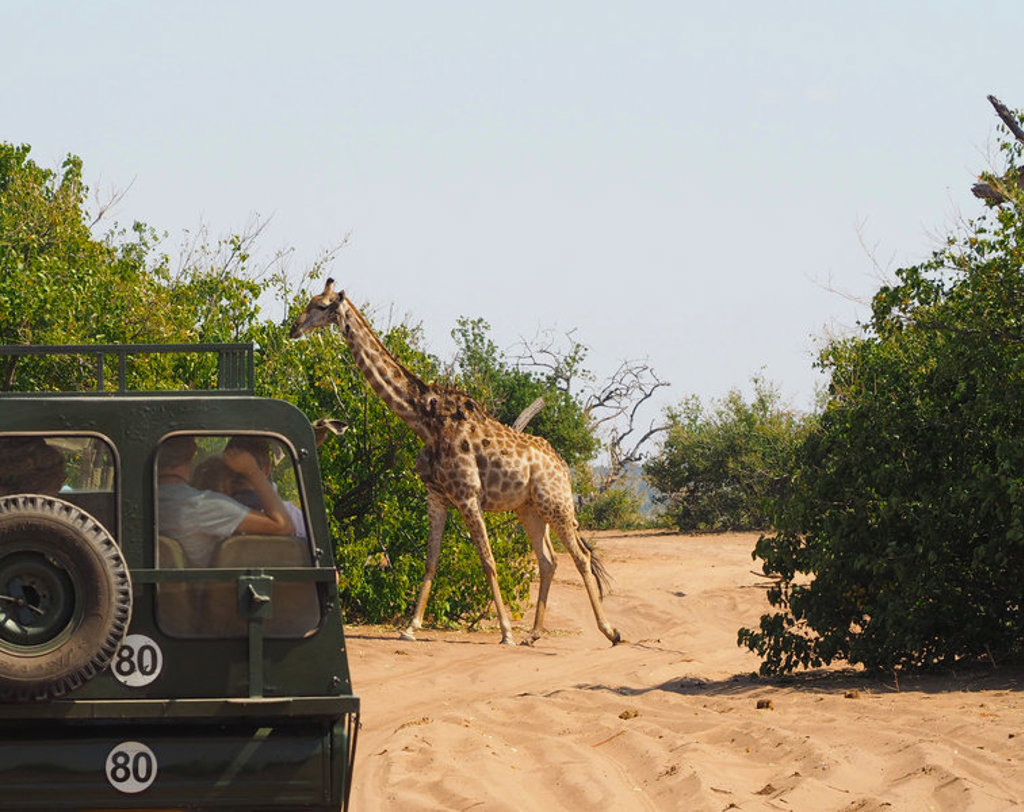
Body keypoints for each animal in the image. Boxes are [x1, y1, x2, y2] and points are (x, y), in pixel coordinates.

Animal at [289, 279, 622, 646]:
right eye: (310, 302)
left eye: (321, 306)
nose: (294, 328)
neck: (422, 420)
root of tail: (563, 466)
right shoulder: (437, 495)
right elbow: (430, 560)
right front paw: (410, 627)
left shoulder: (467, 495)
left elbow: (488, 561)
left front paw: (506, 632)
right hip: (529, 508)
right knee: (548, 560)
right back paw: (534, 634)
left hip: (556, 503)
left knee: (581, 556)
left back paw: (610, 631)